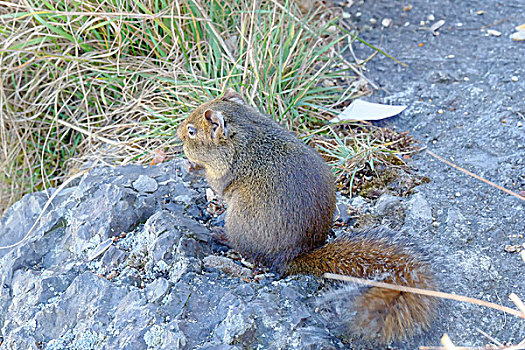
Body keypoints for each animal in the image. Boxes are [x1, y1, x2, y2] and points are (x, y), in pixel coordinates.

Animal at [176, 89, 434, 344]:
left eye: (192, 131)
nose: (178, 133)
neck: (245, 133)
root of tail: (291, 257)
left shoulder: (223, 172)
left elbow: (214, 183)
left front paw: (191, 166)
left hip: (240, 219)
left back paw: (222, 235)